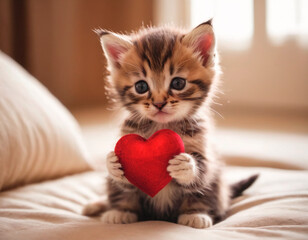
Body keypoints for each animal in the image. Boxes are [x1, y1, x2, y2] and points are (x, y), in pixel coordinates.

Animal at [82, 20, 258, 229]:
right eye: (141, 86)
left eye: (178, 83)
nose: (159, 104)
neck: (161, 126)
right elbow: (124, 185)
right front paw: (113, 164)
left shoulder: (204, 149)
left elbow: (200, 176)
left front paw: (186, 167)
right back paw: (116, 210)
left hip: (217, 181)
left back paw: (196, 214)